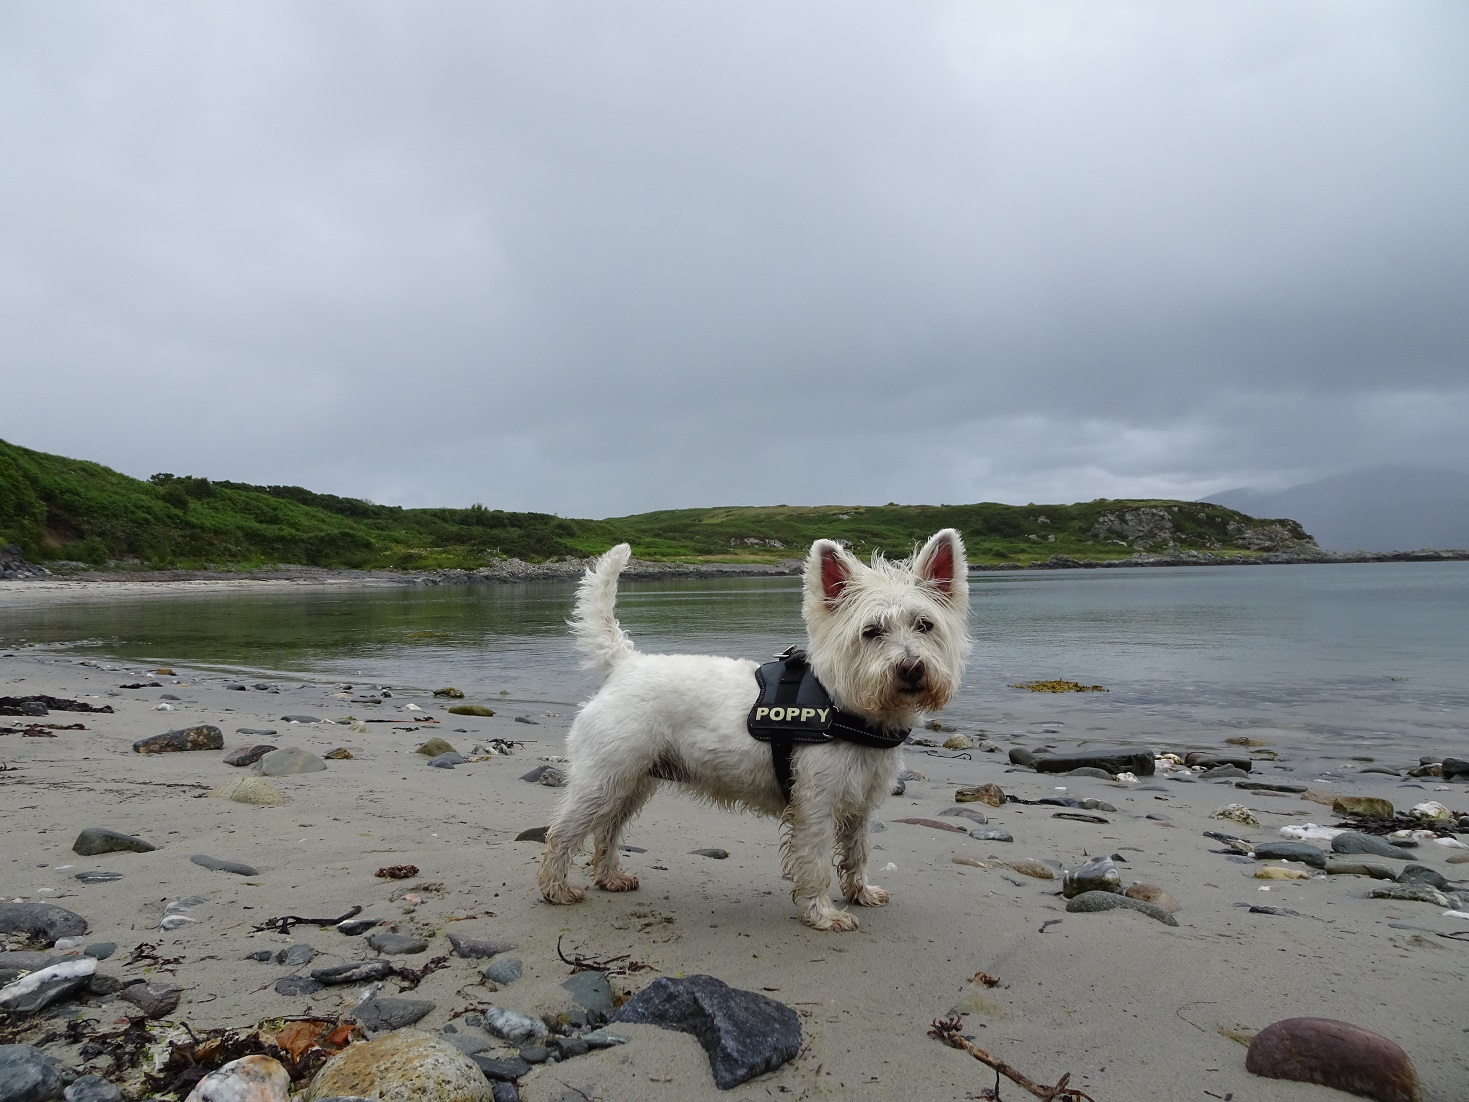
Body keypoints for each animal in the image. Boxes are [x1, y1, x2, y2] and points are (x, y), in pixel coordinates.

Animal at [540, 531, 975, 934]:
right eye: (871, 631)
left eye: (924, 625)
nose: (911, 668)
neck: (848, 708)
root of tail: (625, 665)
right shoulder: (816, 803)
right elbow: (817, 861)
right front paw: (824, 914)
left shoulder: (860, 805)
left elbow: (858, 852)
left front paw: (861, 893)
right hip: (604, 778)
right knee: (563, 832)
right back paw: (557, 889)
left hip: (634, 782)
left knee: (607, 830)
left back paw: (610, 877)